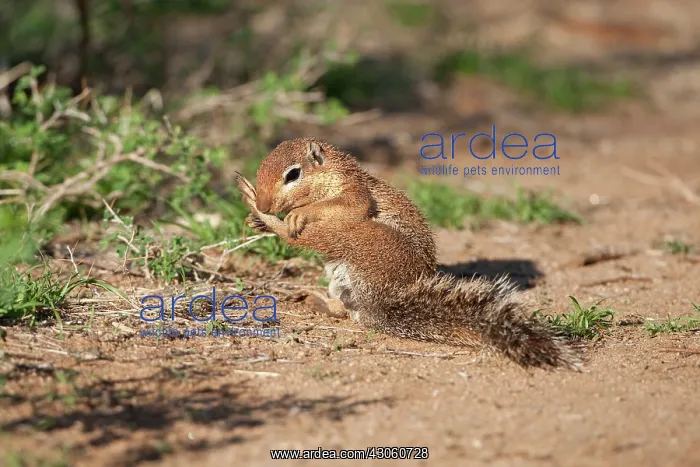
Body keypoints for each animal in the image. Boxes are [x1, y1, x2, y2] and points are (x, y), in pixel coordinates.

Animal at [235, 137, 580, 370]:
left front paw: (294, 214)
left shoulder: (355, 193)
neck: (333, 171)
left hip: (358, 236)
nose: (266, 203)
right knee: (345, 310)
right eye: (261, 167)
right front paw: (257, 213)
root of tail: (382, 299)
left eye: (293, 174)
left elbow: (348, 205)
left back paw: (269, 219)